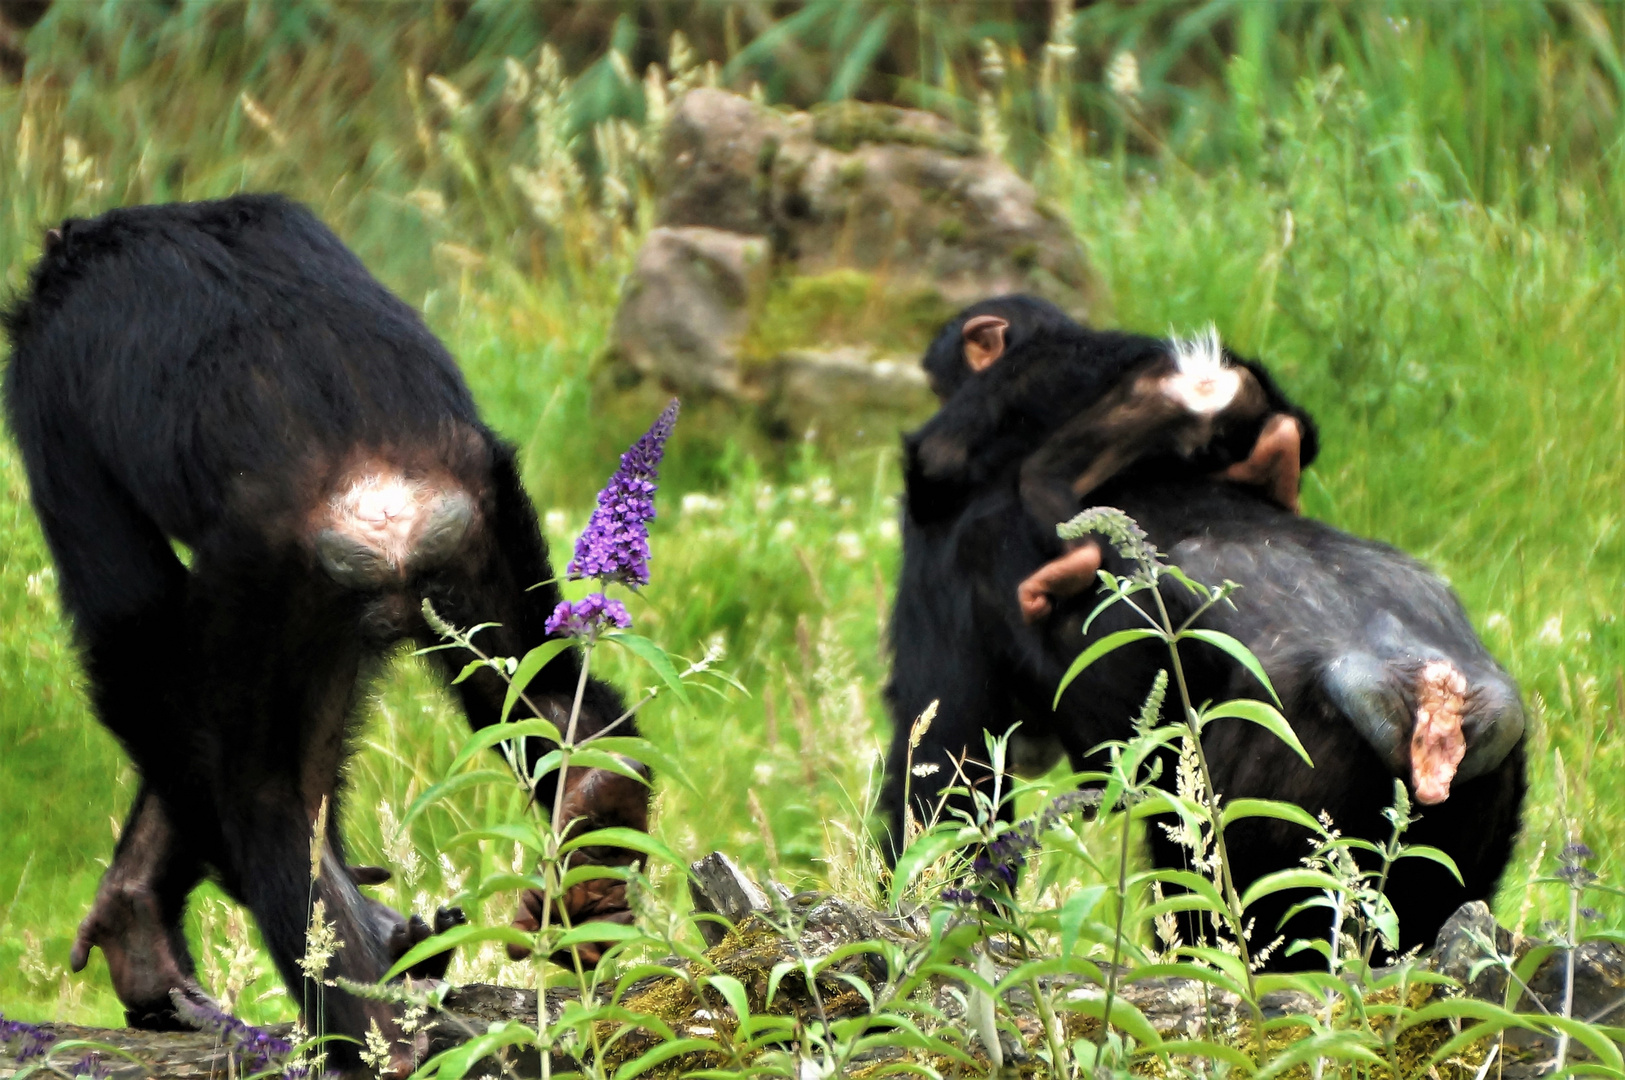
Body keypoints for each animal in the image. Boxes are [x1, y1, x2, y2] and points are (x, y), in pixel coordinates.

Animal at [7, 195, 653, 1071]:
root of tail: (386, 503)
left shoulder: (42, 385)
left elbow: (129, 618)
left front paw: (138, 923)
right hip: (484, 536)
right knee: (540, 692)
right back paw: (594, 833)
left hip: (274, 579)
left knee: (267, 797)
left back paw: (377, 1034)